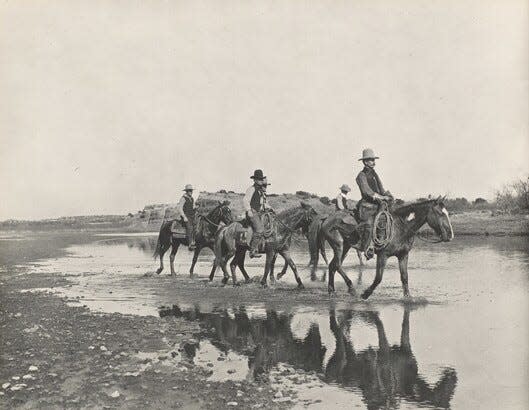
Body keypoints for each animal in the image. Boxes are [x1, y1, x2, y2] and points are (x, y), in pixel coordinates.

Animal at [320, 197, 452, 296]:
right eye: (440, 213)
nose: (451, 235)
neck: (400, 228)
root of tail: (327, 218)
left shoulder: (403, 255)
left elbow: (404, 277)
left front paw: (408, 298)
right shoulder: (383, 255)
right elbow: (378, 278)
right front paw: (365, 294)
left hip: (346, 247)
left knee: (333, 265)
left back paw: (332, 291)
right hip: (339, 245)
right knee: (337, 265)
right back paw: (351, 287)